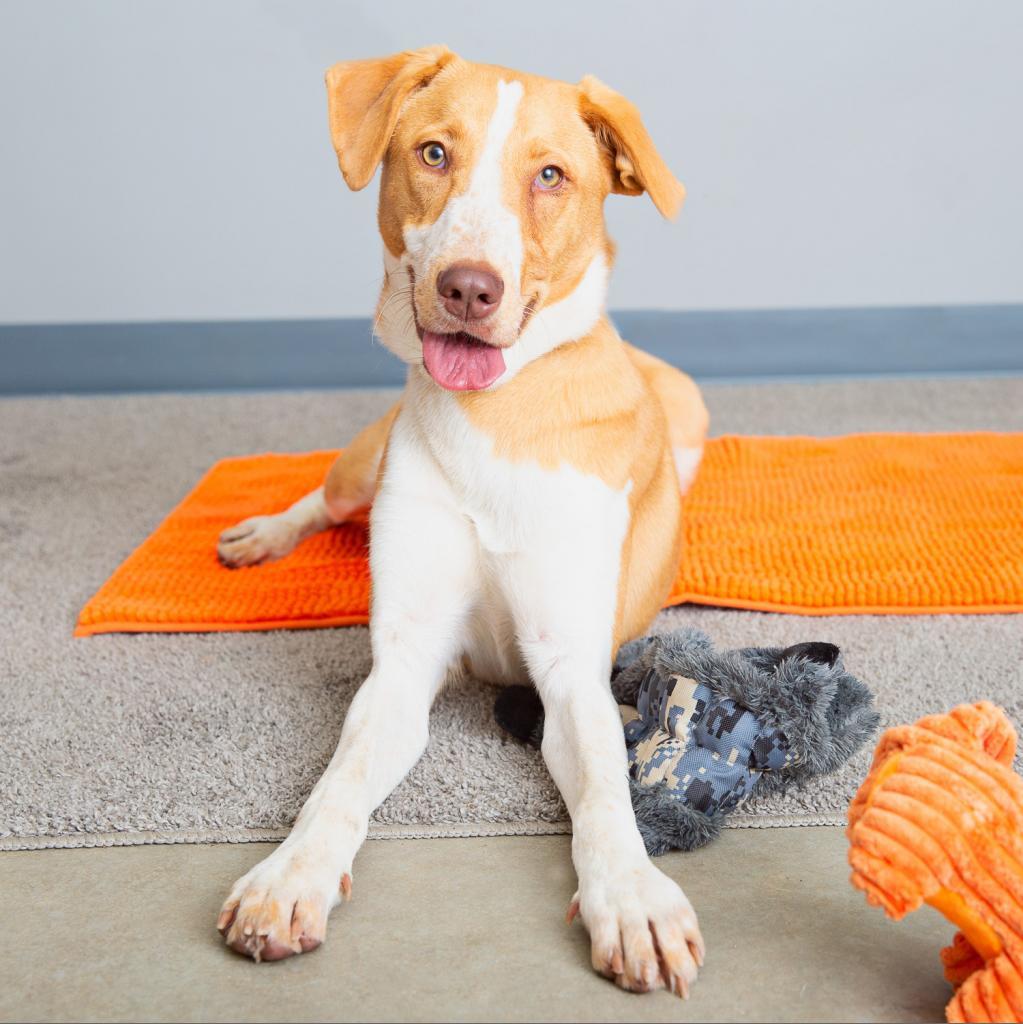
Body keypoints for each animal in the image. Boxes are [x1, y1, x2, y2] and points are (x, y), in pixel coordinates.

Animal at [215, 46, 708, 991]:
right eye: (434, 153)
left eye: (550, 175)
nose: (469, 289)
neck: (493, 411)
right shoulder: (404, 662)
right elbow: (338, 781)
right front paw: (289, 879)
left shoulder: (569, 668)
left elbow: (605, 788)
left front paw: (632, 898)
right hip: (362, 467)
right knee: (323, 497)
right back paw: (263, 535)